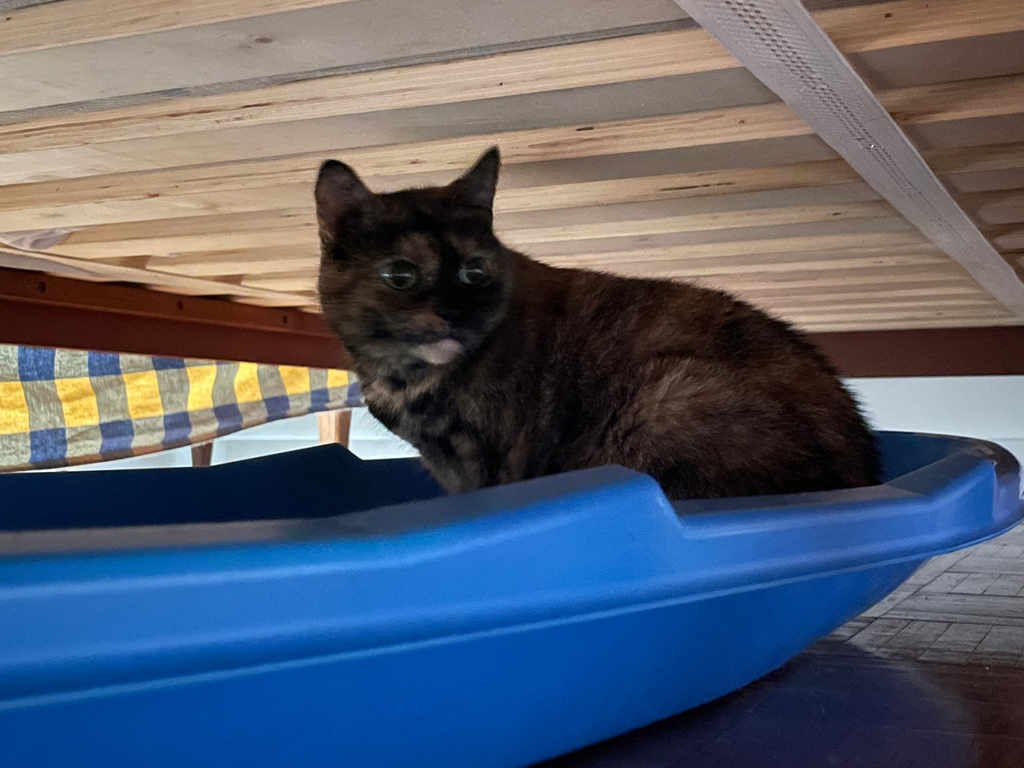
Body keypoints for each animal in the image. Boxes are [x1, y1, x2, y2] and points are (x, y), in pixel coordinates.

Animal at [313, 148, 880, 499]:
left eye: (475, 271)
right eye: (400, 275)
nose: (454, 312)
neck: (406, 382)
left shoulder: (492, 461)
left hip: (670, 396)